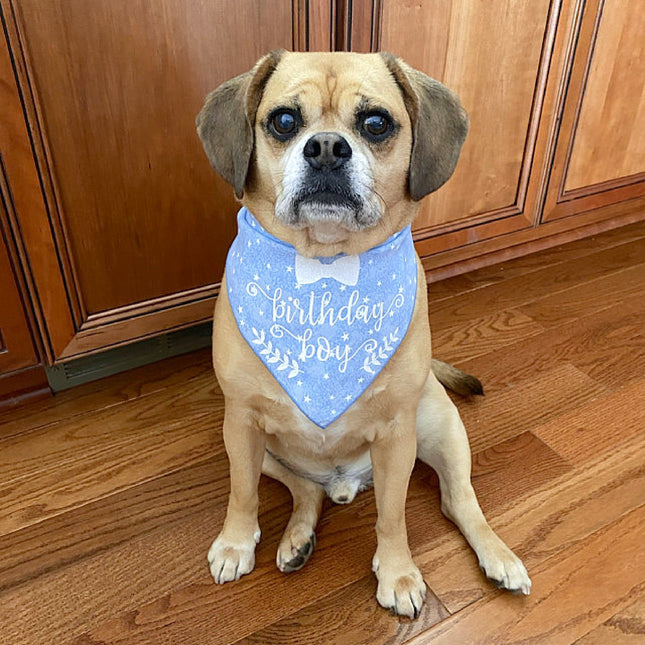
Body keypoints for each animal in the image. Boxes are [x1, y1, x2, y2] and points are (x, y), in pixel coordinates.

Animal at [196, 51, 528, 620]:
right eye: (284, 121)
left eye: (375, 124)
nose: (327, 148)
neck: (326, 270)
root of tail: (345, 483)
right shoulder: (240, 424)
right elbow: (242, 495)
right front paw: (236, 542)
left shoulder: (396, 436)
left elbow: (393, 518)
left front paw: (398, 574)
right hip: (267, 453)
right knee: (306, 491)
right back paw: (297, 539)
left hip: (441, 430)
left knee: (459, 502)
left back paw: (499, 556)